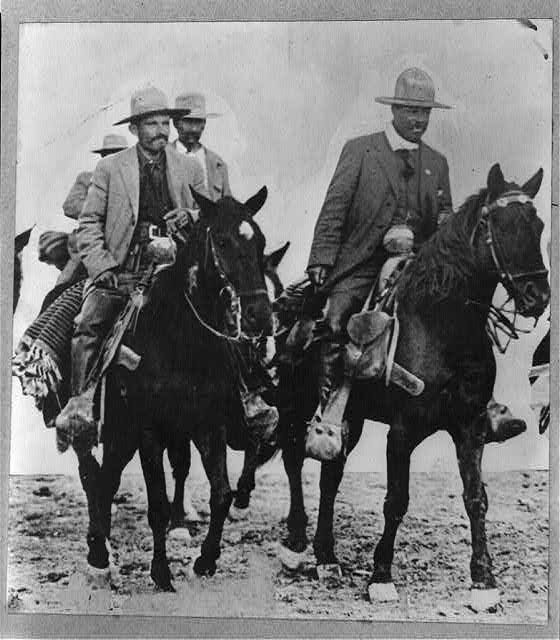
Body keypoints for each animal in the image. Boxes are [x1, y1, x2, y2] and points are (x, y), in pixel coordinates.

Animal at [76, 188, 274, 592]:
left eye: (261, 242)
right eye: (223, 241)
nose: (261, 316)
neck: (180, 339)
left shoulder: (208, 426)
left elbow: (221, 494)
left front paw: (205, 560)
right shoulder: (148, 432)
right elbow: (157, 504)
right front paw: (161, 572)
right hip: (119, 431)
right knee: (102, 479)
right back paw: (98, 554)